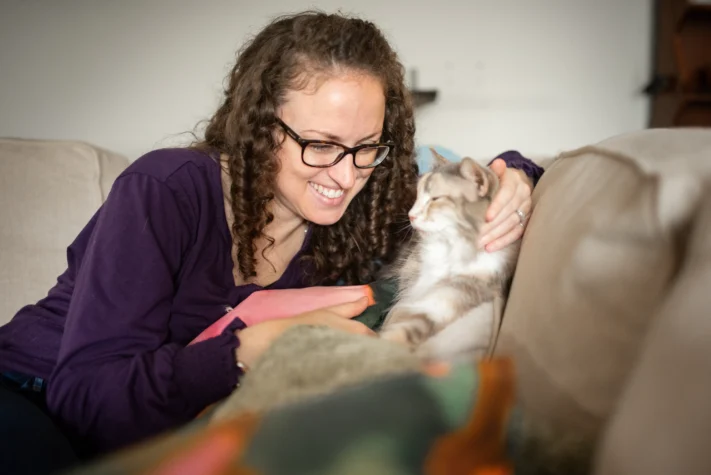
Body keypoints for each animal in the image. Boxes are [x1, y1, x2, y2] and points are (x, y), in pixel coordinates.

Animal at [378, 151, 524, 362]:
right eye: (417, 196)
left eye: (435, 198)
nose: (410, 215)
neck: (450, 250)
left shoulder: (460, 291)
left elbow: (411, 325)